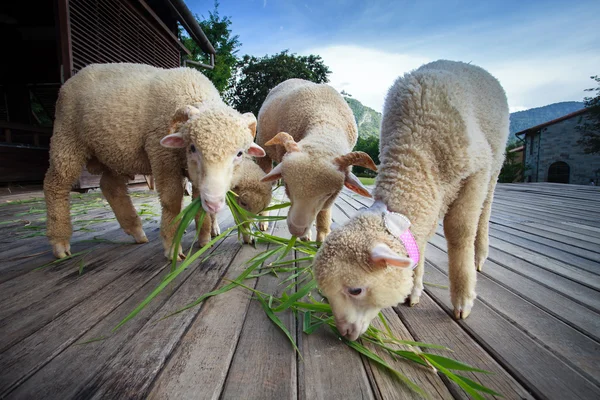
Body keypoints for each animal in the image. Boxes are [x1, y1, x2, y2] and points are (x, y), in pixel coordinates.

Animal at [42, 63, 264, 260]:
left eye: (240, 153)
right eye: (192, 148)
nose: (215, 202)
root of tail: (74, 77)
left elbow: (198, 205)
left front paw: (203, 239)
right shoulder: (162, 156)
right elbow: (171, 202)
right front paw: (172, 246)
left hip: (114, 154)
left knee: (110, 185)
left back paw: (136, 231)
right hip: (67, 137)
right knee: (56, 184)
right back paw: (60, 242)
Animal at [255, 78, 378, 241]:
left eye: (329, 194)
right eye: (287, 185)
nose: (297, 230)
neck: (324, 124)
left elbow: (325, 210)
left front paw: (323, 234)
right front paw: (307, 235)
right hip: (263, 149)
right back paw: (263, 220)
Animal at [312, 60, 508, 340]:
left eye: (356, 290)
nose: (345, 334)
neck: (414, 150)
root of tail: (467, 64)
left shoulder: (475, 171)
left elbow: (460, 232)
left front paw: (463, 298)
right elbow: (420, 238)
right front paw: (414, 287)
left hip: (495, 161)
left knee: (485, 211)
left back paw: (479, 255)